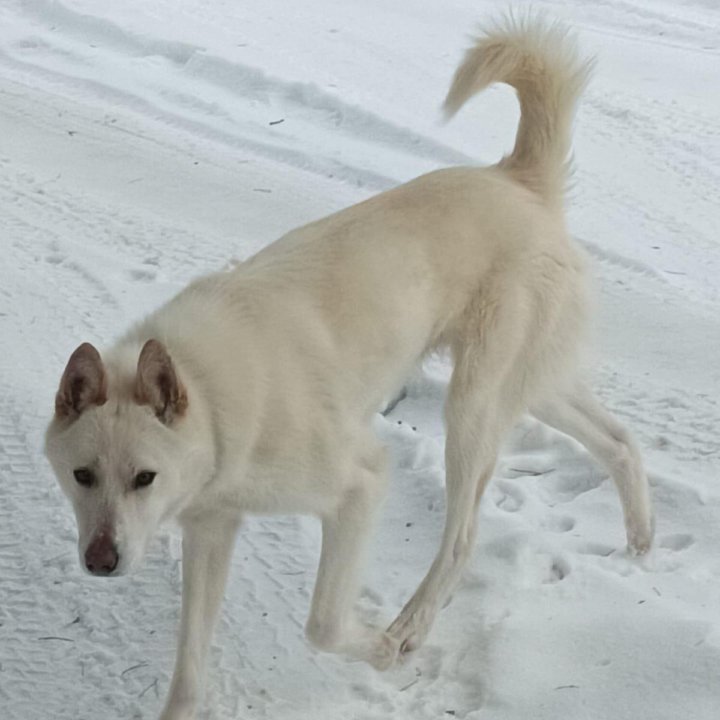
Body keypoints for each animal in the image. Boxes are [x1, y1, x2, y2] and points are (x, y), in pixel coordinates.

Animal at [43, 16, 652, 720]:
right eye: (82, 475)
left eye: (144, 477)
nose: (101, 560)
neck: (215, 399)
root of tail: (516, 179)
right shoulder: (211, 529)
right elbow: (189, 672)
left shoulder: (359, 485)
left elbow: (323, 624)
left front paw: (381, 652)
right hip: (533, 386)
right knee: (619, 441)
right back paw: (641, 540)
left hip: (473, 405)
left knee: (463, 536)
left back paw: (411, 626)